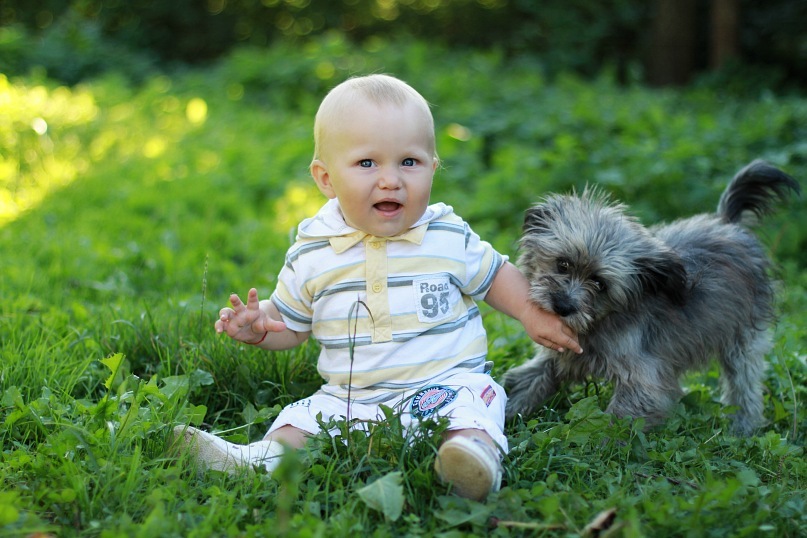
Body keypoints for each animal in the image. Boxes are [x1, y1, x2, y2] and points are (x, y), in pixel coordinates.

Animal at [504, 160, 800, 436]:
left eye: (600, 283)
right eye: (562, 264)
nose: (563, 306)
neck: (601, 321)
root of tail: (727, 222)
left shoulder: (642, 380)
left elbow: (616, 423)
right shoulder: (557, 358)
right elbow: (525, 382)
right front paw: (506, 418)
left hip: (741, 338)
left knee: (744, 385)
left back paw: (743, 427)